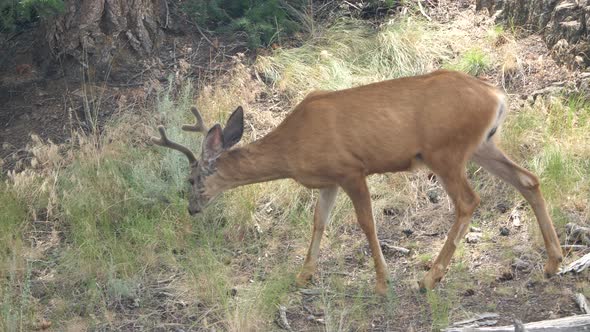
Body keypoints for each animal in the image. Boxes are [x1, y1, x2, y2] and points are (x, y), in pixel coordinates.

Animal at [153, 68, 564, 294]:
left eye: (191, 179)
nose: (191, 209)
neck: (292, 147)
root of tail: (497, 95)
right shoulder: (328, 180)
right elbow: (318, 223)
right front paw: (303, 275)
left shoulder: (351, 169)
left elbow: (366, 223)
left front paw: (382, 283)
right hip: (482, 145)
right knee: (528, 179)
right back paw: (553, 262)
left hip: (445, 152)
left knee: (468, 201)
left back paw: (429, 279)